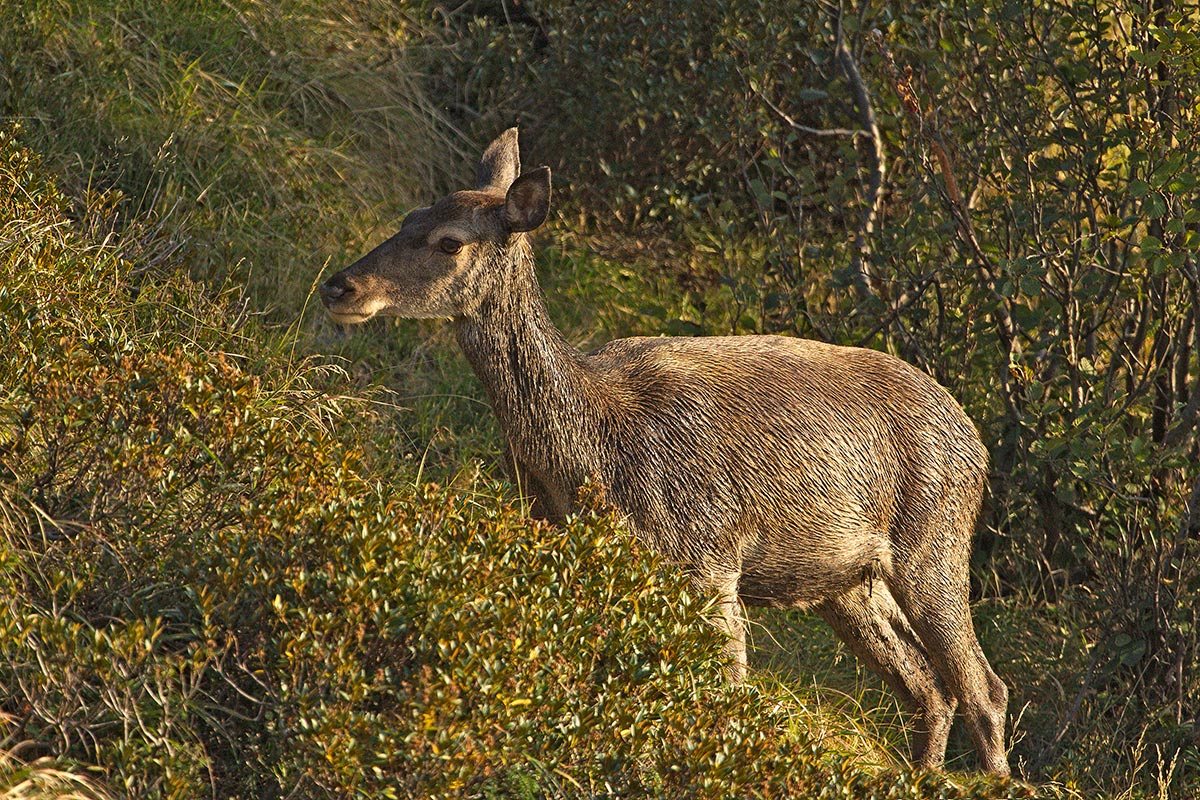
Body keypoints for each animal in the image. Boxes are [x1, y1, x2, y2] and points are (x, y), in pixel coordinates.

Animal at [319, 128, 1010, 776]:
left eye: (449, 241)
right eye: (408, 216)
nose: (339, 286)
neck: (588, 458)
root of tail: (974, 439)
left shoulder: (709, 557)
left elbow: (724, 699)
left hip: (934, 546)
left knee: (984, 687)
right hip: (845, 583)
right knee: (928, 688)